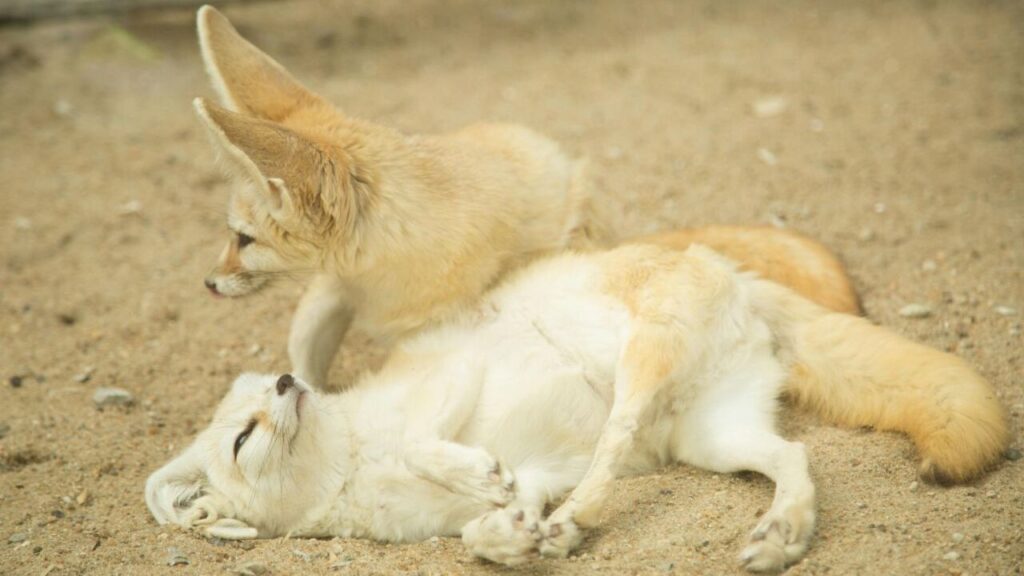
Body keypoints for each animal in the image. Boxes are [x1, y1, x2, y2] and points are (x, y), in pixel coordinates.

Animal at [146, 243, 1007, 572]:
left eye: (261, 396)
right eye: (244, 434)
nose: (288, 385)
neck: (350, 464)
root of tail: (726, 264)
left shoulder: (454, 378)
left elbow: (435, 446)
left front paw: (487, 488)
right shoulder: (532, 473)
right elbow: (481, 530)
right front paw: (510, 535)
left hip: (635, 376)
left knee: (612, 453)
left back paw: (577, 523)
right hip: (713, 438)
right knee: (794, 457)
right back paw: (781, 533)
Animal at [190, 6, 859, 388]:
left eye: (243, 239)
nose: (208, 283)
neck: (383, 276)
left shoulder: (437, 321)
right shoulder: (336, 289)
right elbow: (305, 353)